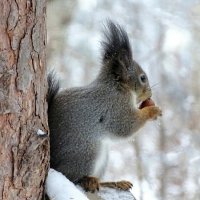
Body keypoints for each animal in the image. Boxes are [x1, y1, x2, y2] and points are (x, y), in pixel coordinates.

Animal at [47, 20, 162, 192]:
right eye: (143, 78)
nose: (150, 94)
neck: (116, 87)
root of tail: (53, 164)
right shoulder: (114, 106)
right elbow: (125, 126)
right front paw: (152, 110)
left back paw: (115, 182)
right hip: (87, 152)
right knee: (72, 177)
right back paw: (88, 180)